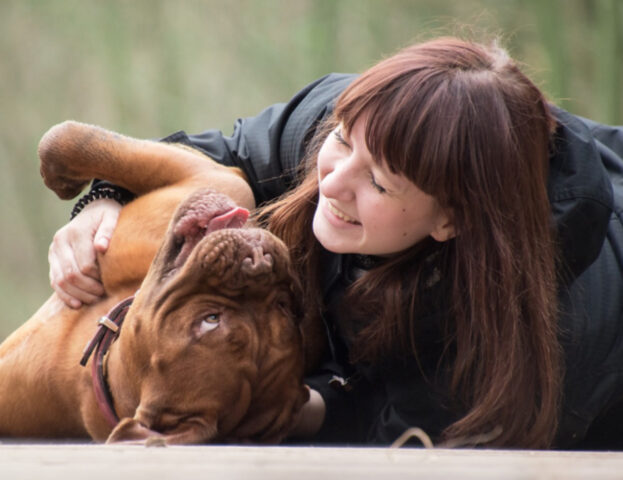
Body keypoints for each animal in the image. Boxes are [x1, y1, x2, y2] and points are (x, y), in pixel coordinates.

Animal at [0, 122, 310, 444]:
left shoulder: (213, 174)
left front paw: (60, 180)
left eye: (210, 320)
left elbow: (66, 137)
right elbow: (71, 140)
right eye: (284, 308)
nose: (258, 263)